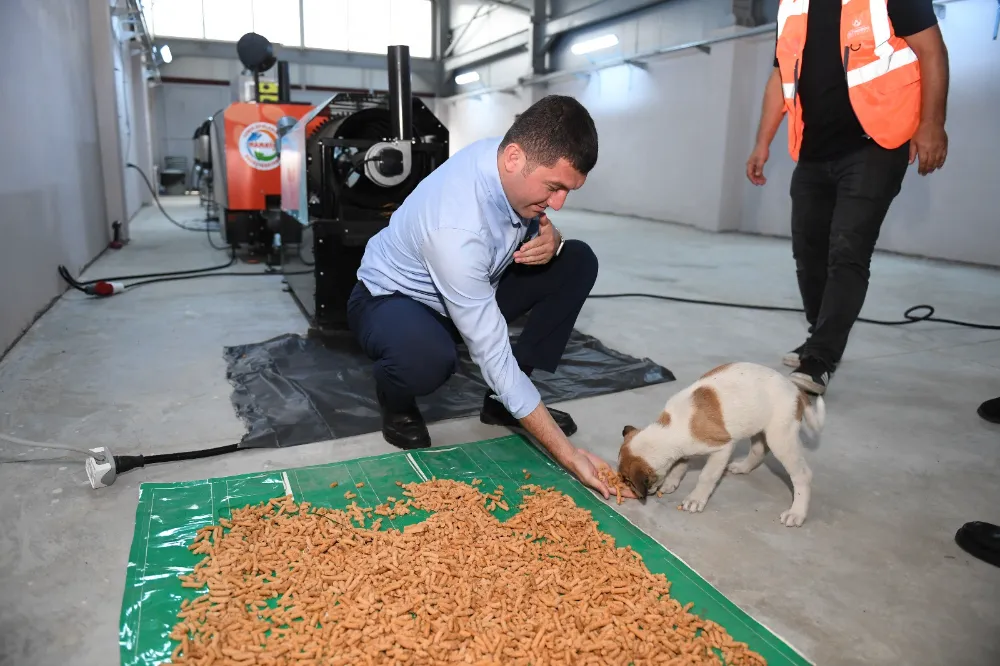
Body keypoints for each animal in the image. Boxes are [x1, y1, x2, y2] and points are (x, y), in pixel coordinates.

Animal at [616, 360, 828, 528]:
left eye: (628, 480)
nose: (629, 490)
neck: (670, 429)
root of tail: (796, 390)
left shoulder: (722, 448)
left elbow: (706, 476)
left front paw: (696, 499)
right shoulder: (683, 450)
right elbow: (679, 466)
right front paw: (671, 482)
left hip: (781, 438)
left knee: (802, 475)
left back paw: (796, 513)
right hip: (758, 428)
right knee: (759, 450)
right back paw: (742, 467)